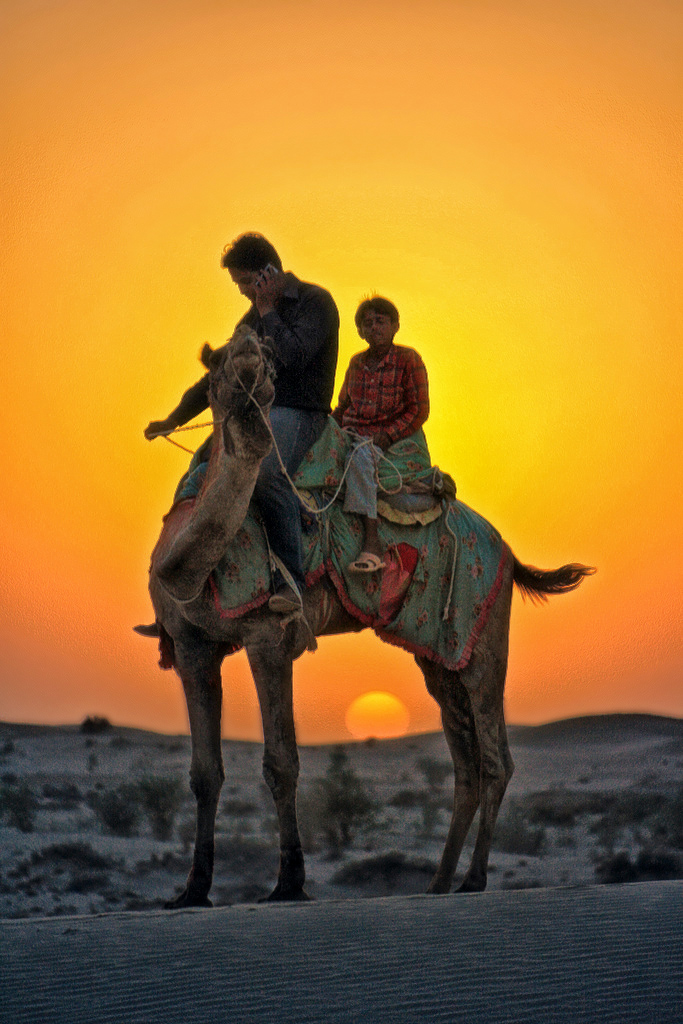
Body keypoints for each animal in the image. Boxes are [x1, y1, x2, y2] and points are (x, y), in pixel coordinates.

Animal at [145, 325, 593, 905]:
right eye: (218, 364)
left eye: (269, 365)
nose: (250, 355)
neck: (192, 567)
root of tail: (508, 552)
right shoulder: (192, 646)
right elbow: (204, 775)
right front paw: (193, 890)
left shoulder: (268, 636)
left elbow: (281, 763)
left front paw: (289, 883)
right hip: (440, 651)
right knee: (465, 759)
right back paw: (440, 881)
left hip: (483, 627)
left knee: (495, 756)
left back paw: (473, 879)